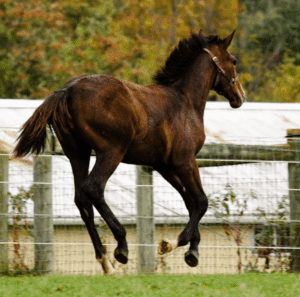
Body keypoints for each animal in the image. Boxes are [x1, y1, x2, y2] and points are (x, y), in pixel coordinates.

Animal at [12, 28, 246, 274]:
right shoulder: (185, 161)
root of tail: (67, 91)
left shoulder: (164, 165)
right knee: (94, 188)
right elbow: (201, 201)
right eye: (233, 61)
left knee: (82, 200)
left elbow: (189, 201)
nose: (240, 96)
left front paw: (193, 253)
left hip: (78, 153)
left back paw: (106, 262)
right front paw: (172, 244)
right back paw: (121, 247)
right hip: (111, 152)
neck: (184, 100)